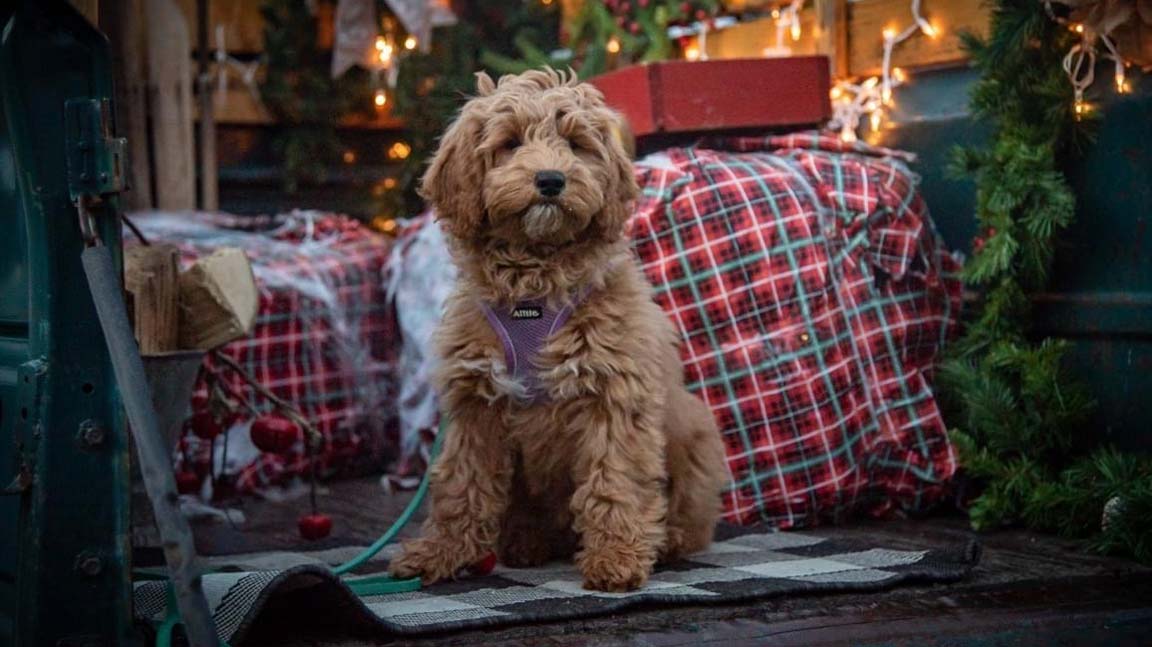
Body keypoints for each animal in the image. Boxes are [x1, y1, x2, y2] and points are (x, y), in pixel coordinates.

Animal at [389, 66, 728, 589]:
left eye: (574, 143)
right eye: (509, 143)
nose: (550, 179)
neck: (534, 282)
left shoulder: (614, 393)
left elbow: (614, 480)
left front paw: (616, 559)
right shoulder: (475, 402)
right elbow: (462, 484)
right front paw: (440, 553)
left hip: (695, 434)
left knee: (692, 521)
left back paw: (668, 540)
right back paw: (523, 542)